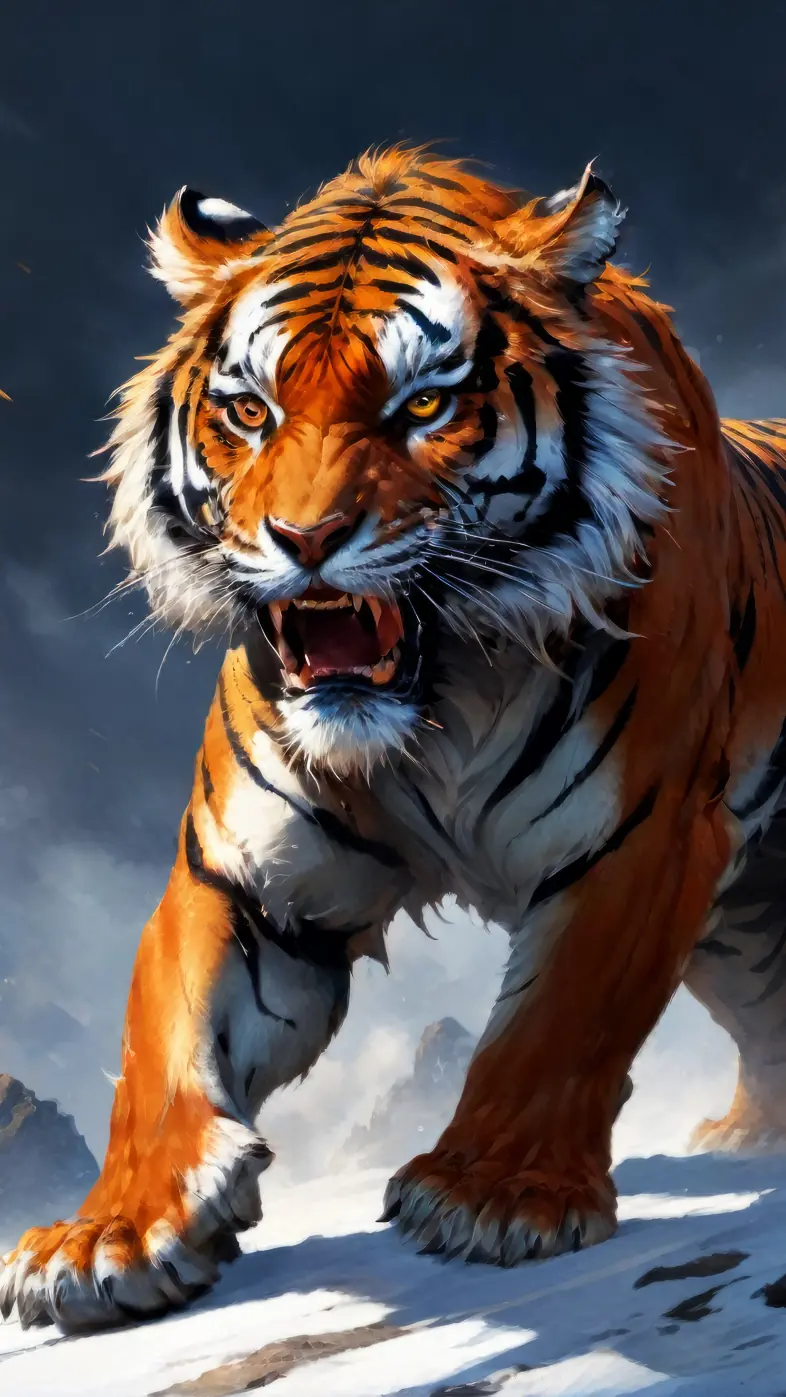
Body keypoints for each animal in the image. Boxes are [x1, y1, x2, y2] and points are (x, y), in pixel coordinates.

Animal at [4, 143, 786, 1333]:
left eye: (424, 404)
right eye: (250, 411)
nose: (306, 537)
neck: (435, 704)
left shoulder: (638, 836)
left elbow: (557, 1022)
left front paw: (491, 1194)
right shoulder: (241, 875)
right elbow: (163, 1047)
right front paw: (110, 1235)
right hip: (745, 938)